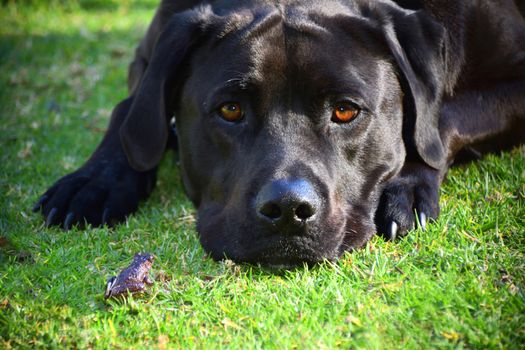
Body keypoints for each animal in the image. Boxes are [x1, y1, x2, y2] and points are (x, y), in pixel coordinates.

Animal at [33, 0, 524, 266]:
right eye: (230, 110)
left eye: (345, 111)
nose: (289, 209)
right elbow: (129, 113)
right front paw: (93, 181)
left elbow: (441, 119)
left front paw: (407, 188)